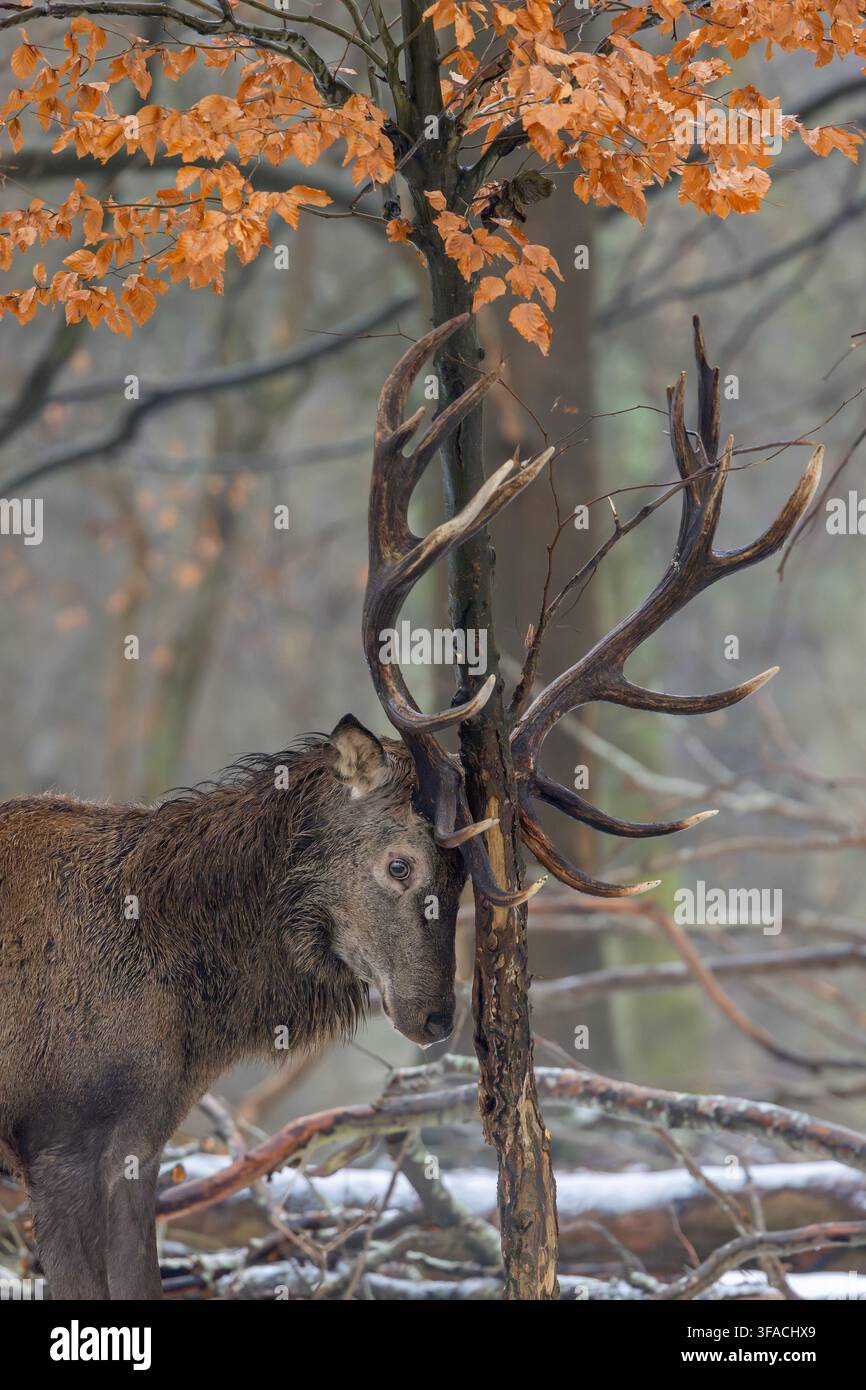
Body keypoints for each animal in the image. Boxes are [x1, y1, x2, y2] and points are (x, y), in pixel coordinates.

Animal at [0, 315, 821, 1301]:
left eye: (470, 874)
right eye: (401, 863)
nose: (435, 1018)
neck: (172, 998)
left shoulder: (137, 1143)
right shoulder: (60, 1133)